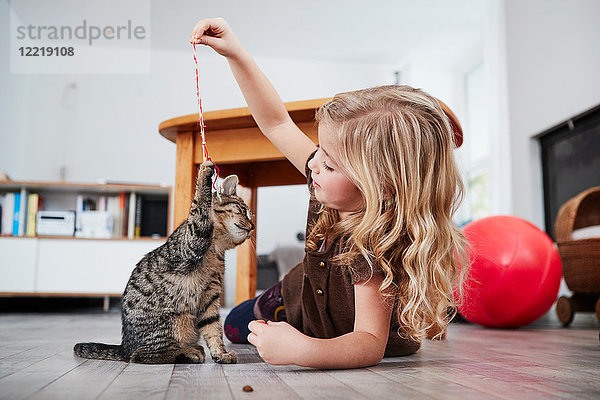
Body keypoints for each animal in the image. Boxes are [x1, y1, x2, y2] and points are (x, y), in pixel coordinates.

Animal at [74, 161, 253, 364]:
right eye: (243, 211)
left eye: (251, 216)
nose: (252, 227)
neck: (216, 249)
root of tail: (124, 347)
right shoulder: (191, 241)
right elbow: (200, 204)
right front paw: (204, 172)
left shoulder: (210, 295)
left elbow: (213, 327)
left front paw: (220, 353)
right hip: (175, 319)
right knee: (141, 355)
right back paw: (188, 352)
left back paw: (192, 349)